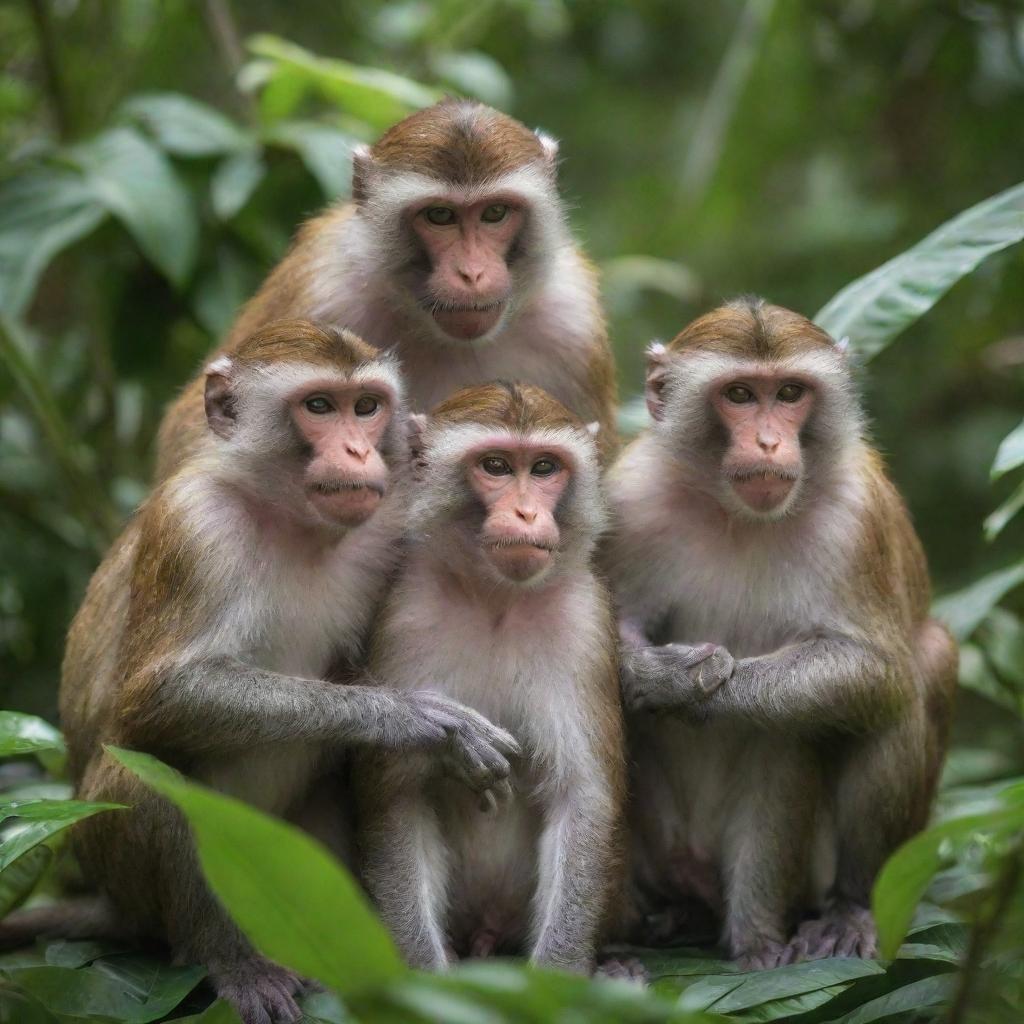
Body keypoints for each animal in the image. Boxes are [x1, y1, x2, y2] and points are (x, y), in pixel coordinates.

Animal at [0, 319, 520, 1024]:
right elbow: (155, 698)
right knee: (149, 774)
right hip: (116, 864)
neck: (292, 520)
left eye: (366, 406)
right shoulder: (194, 527)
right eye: (319, 406)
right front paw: (417, 720)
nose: (358, 450)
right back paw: (230, 961)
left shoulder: (390, 519)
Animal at [352, 382, 622, 974]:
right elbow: (399, 797)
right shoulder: (407, 614)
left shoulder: (583, 621)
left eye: (544, 467)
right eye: (495, 466)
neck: (496, 599)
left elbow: (581, 799)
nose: (525, 511)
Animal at [598, 299, 958, 966]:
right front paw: (656, 673)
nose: (769, 441)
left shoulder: (856, 514)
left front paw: (688, 688)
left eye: (790, 393)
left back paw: (811, 921)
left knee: (902, 678)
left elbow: (870, 668)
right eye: (739, 394)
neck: (737, 514)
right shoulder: (628, 497)